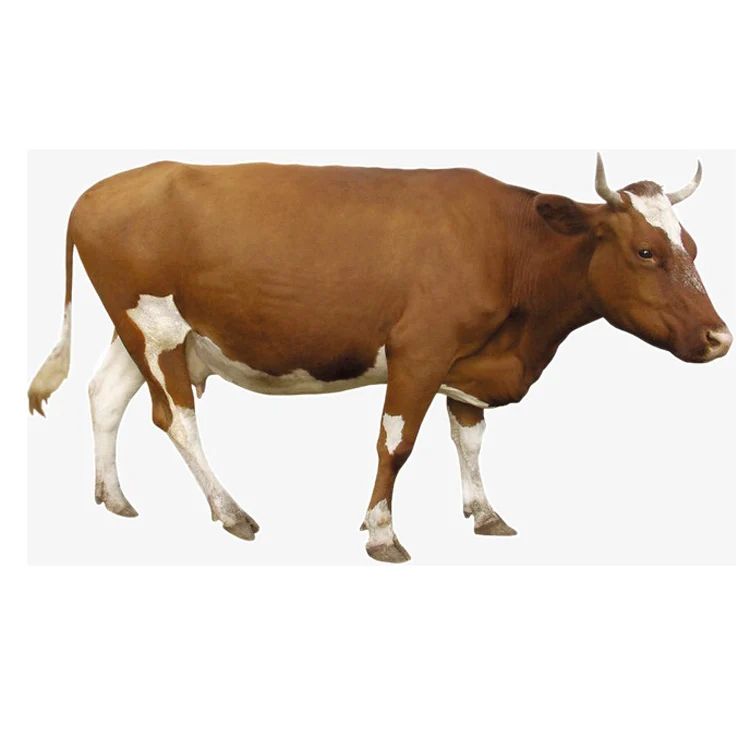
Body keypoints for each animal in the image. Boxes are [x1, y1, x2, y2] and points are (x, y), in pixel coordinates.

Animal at [28, 154, 732, 563]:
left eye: (694, 247)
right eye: (645, 251)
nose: (721, 338)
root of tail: (97, 191)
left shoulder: (469, 362)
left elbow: (469, 439)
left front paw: (486, 513)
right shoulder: (420, 350)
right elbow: (396, 443)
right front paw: (383, 532)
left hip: (145, 330)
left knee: (105, 396)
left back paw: (114, 497)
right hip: (155, 327)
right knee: (175, 417)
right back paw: (231, 513)